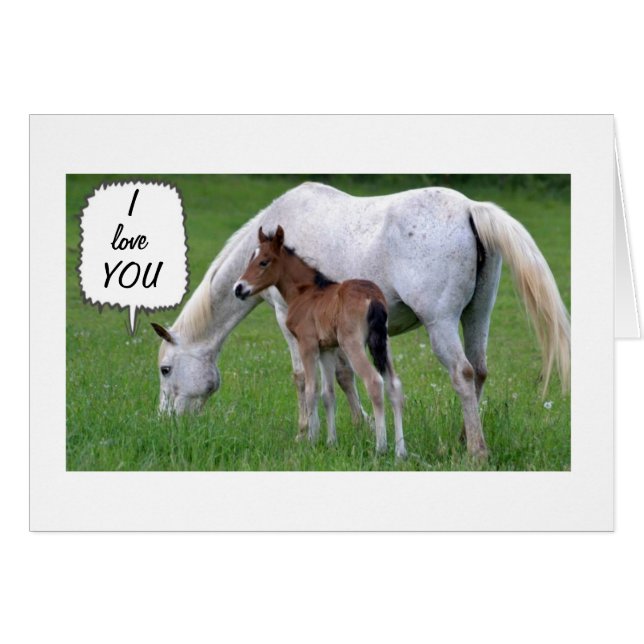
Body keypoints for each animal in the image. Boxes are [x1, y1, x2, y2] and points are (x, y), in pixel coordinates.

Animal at [233, 225, 407, 458]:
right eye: (251, 258)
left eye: (263, 261)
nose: (238, 288)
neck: (305, 292)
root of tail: (373, 298)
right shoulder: (327, 349)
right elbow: (328, 394)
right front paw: (331, 441)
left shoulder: (307, 345)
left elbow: (311, 390)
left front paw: (310, 439)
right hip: (383, 344)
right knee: (394, 386)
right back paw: (400, 451)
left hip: (353, 345)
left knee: (374, 382)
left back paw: (381, 448)